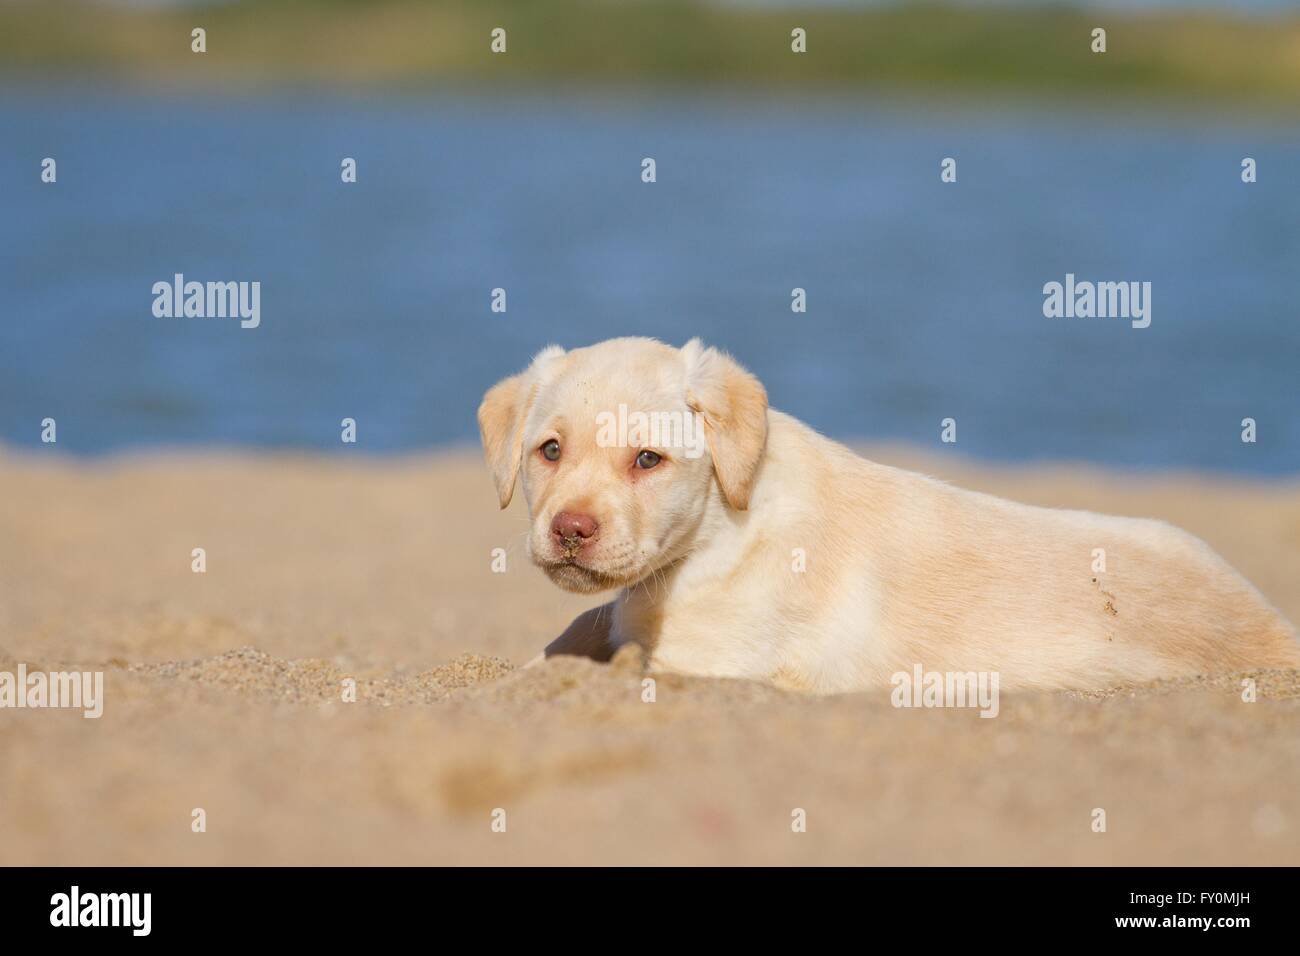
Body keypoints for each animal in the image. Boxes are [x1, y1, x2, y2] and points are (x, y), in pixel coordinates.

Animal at [480, 340, 1300, 691]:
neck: (722, 523)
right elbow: (576, 633)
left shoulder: (709, 659)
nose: (570, 530)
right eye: (549, 451)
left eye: (647, 461)